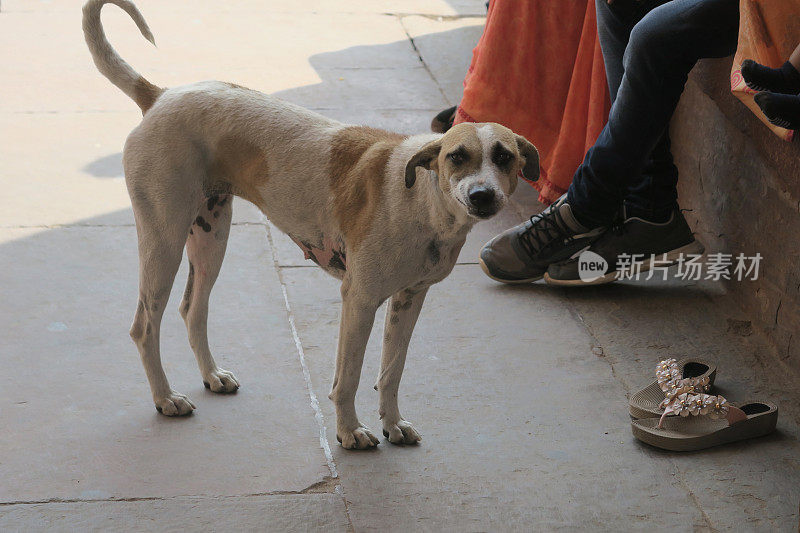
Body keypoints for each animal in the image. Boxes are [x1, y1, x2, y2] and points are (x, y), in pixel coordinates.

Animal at [84, 0, 540, 448]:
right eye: (456, 157)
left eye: (504, 157)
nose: (483, 196)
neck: (421, 202)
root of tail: (160, 95)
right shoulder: (359, 299)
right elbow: (349, 379)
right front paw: (349, 431)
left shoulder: (410, 299)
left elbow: (391, 372)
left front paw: (392, 424)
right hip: (164, 241)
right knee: (144, 326)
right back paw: (165, 398)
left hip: (211, 239)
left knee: (192, 309)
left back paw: (211, 377)